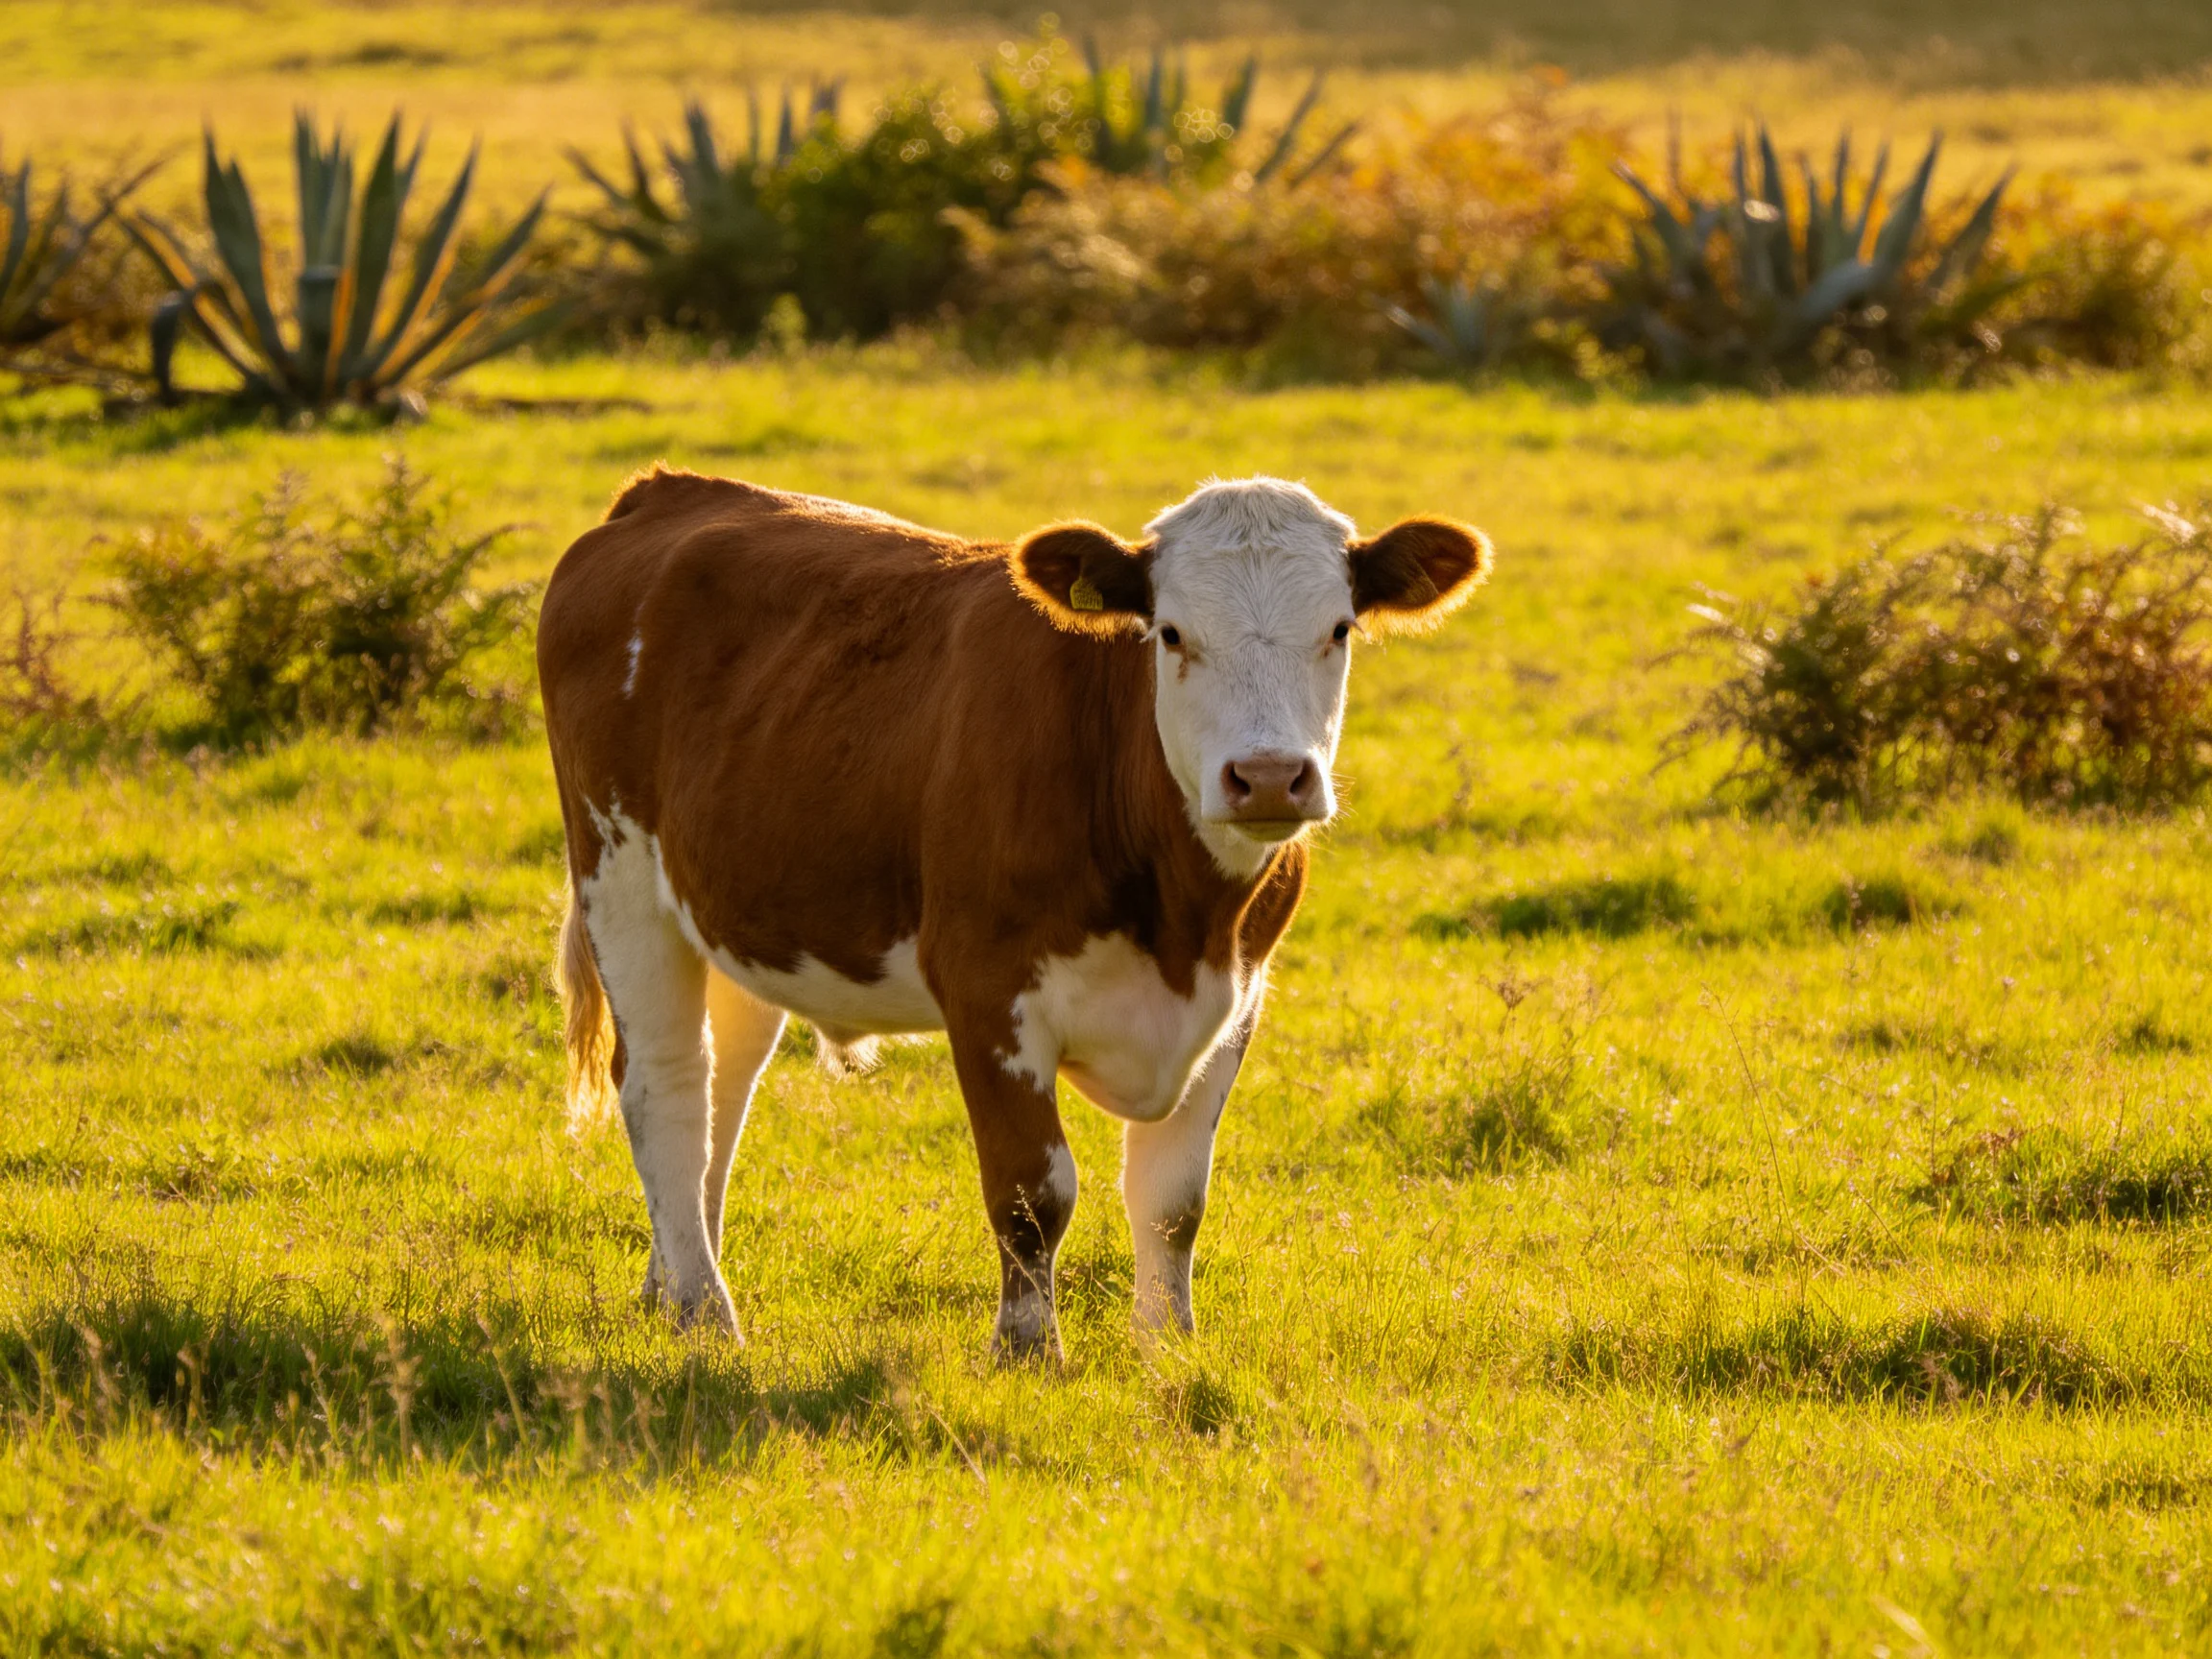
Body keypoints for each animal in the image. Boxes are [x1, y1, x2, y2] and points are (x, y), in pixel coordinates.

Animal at [538, 469, 1491, 1358]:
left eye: (1339, 629)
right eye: (1171, 633)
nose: (1265, 777)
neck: (1183, 922)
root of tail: (668, 492)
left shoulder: (1240, 993)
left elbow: (1174, 1198)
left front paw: (1166, 1346)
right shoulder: (988, 987)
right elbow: (1035, 1190)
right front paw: (1028, 1350)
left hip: (737, 911)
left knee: (721, 1090)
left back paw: (672, 1288)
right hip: (619, 877)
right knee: (664, 1085)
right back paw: (706, 1314)